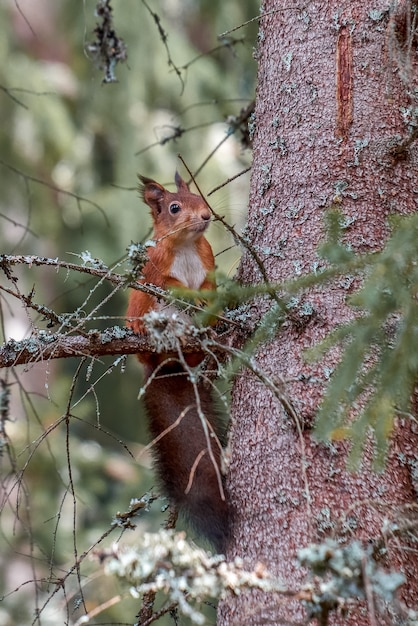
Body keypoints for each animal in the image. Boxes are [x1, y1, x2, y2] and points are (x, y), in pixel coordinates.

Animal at [127, 173, 230, 548]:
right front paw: (187, 295)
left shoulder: (208, 262)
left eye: (200, 197)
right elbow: (169, 284)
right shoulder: (156, 271)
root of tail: (166, 366)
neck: (186, 245)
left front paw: (205, 301)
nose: (206, 216)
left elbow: (208, 286)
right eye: (174, 207)